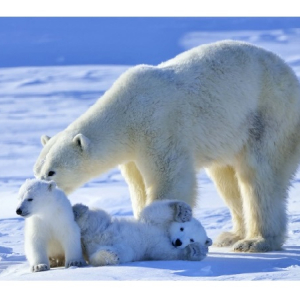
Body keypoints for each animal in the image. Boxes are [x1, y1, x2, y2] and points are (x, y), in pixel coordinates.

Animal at [32, 39, 300, 251]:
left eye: (51, 172)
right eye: (36, 171)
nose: (36, 194)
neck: (126, 112)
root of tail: (289, 73)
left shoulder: (159, 126)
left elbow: (170, 178)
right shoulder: (131, 154)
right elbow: (138, 187)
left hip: (269, 116)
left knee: (259, 176)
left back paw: (256, 241)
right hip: (231, 134)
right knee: (226, 179)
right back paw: (231, 236)